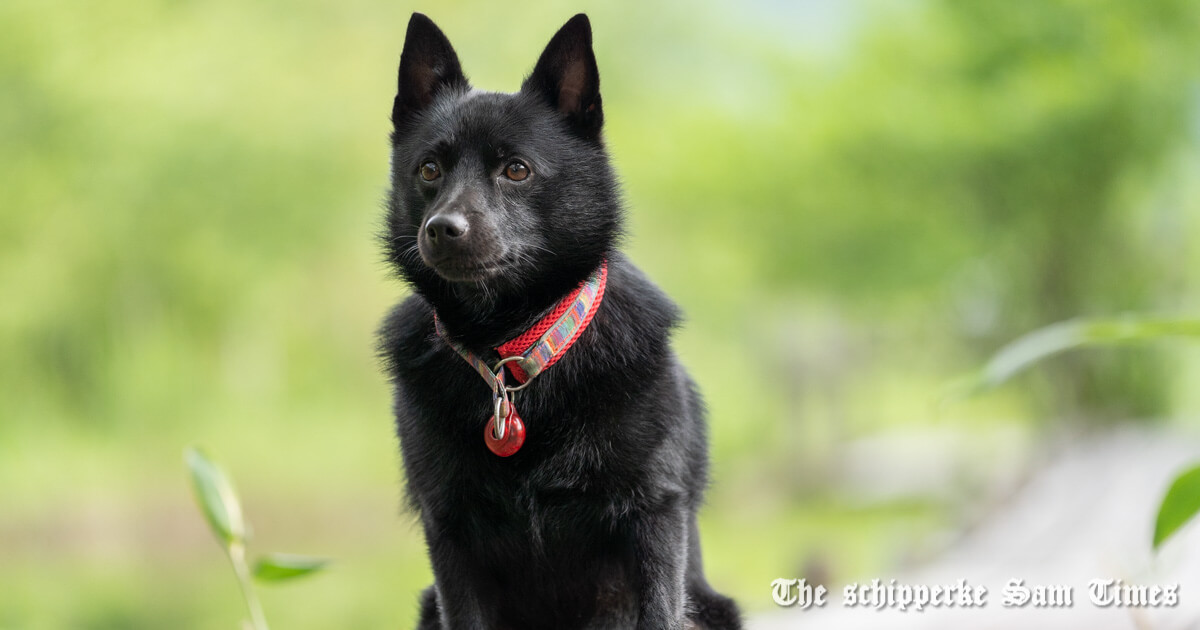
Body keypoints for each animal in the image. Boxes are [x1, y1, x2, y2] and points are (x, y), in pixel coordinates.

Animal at [379, 11, 744, 628]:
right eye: (429, 168)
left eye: (517, 169)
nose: (442, 229)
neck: (511, 352)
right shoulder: (449, 533)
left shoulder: (654, 516)